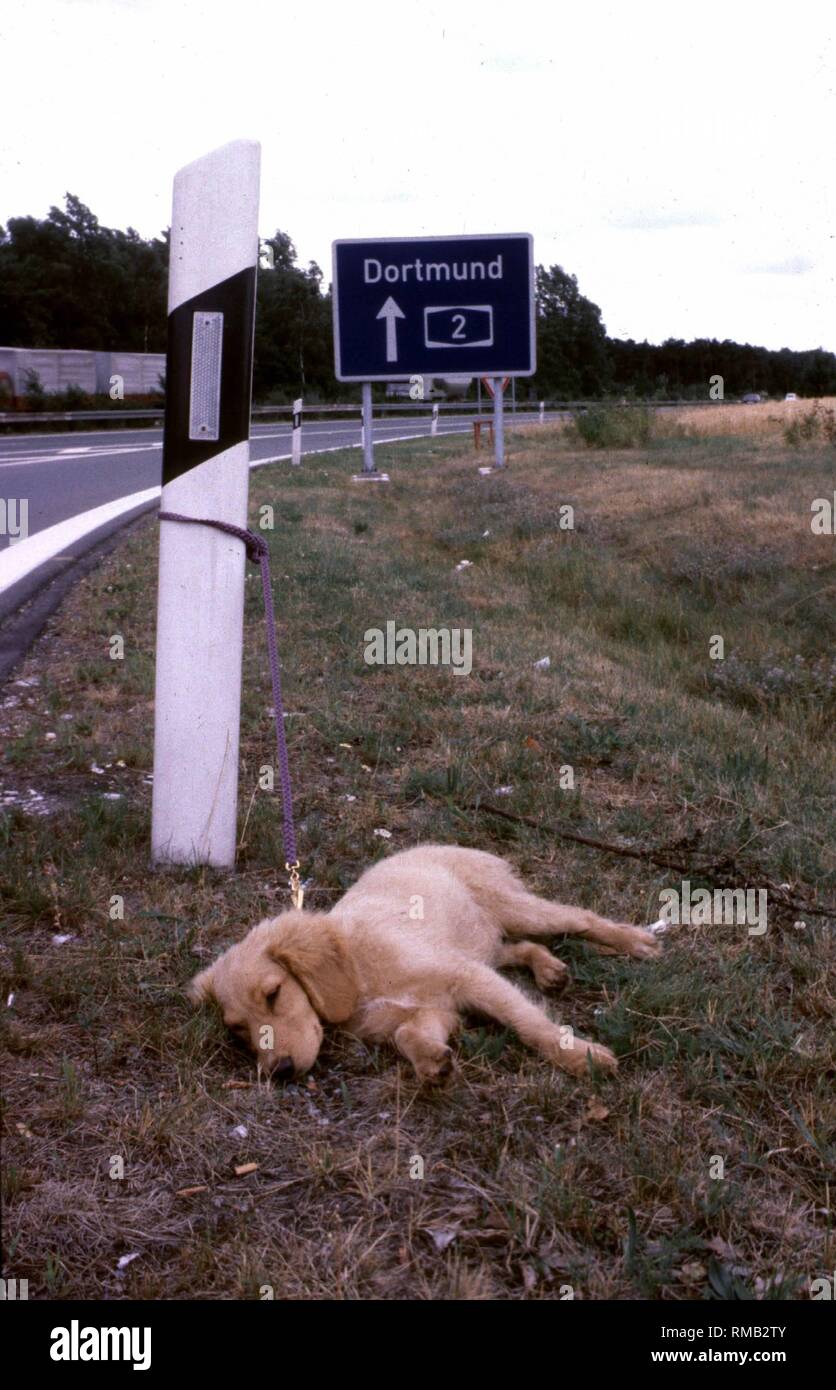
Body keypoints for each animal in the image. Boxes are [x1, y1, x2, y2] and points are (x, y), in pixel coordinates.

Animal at [187, 845, 659, 1084]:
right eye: (237, 1029)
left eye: (274, 993)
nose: (279, 1073)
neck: (359, 971)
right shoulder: (436, 1007)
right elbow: (407, 1033)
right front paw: (431, 1061)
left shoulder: (468, 978)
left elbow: (530, 1024)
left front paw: (580, 1056)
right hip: (479, 939)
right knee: (516, 947)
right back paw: (548, 969)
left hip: (515, 911)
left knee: (579, 918)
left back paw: (635, 941)